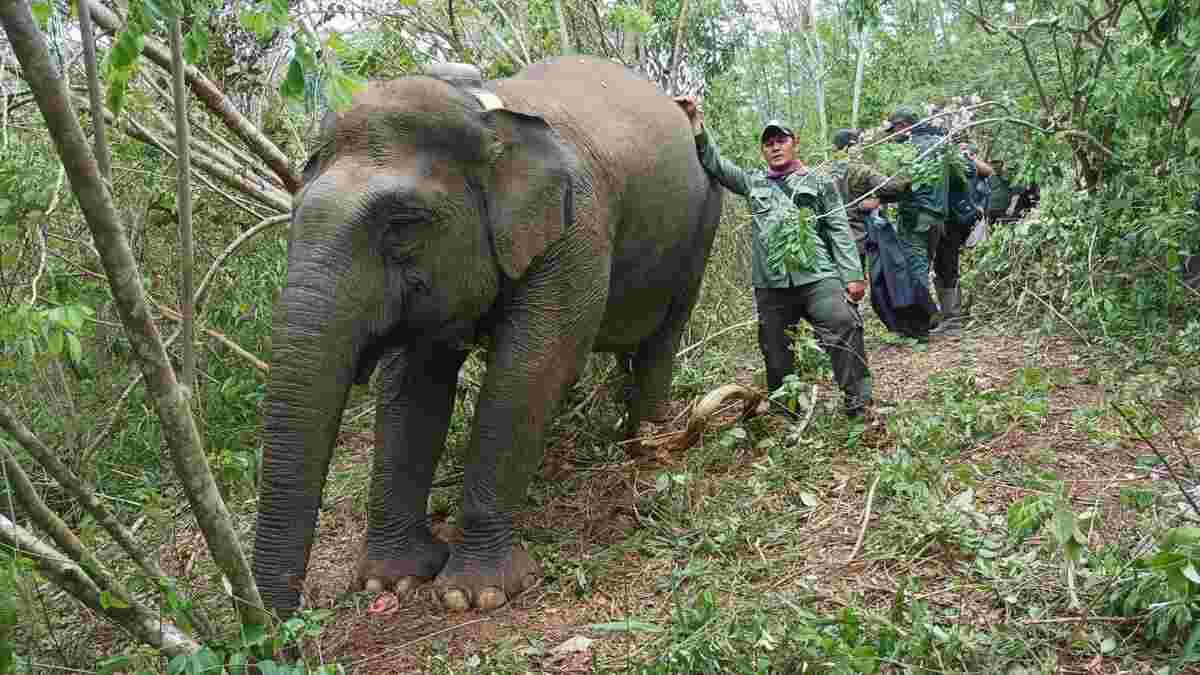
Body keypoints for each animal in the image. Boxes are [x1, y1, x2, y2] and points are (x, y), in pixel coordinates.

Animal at [253, 57, 720, 614]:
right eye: (295, 213)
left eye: (402, 224)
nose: (275, 628)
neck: (488, 113)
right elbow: (413, 386)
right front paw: (391, 582)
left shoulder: (577, 228)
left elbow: (534, 366)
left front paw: (473, 595)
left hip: (703, 223)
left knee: (665, 333)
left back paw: (645, 441)